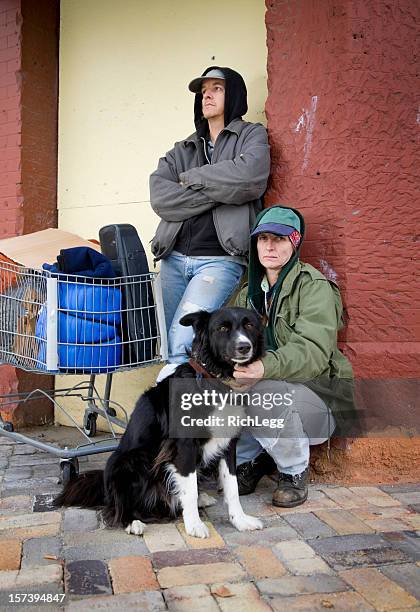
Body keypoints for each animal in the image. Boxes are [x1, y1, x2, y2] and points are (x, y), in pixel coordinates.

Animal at [54, 308, 264, 536]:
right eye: (223, 328)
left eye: (249, 325)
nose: (244, 346)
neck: (215, 381)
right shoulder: (184, 446)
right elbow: (190, 490)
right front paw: (194, 525)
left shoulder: (228, 444)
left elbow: (232, 487)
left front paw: (240, 521)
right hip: (130, 461)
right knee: (116, 507)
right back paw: (132, 522)